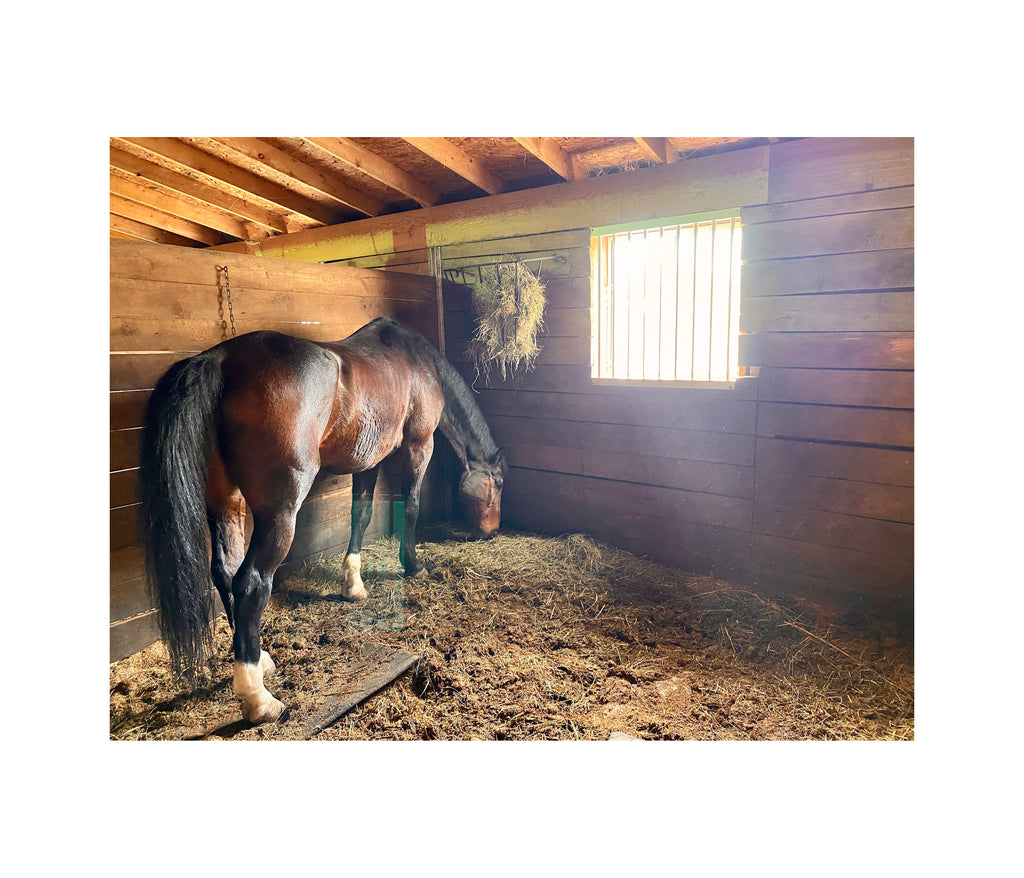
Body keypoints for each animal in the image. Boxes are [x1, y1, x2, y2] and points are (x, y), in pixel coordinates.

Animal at [138, 317, 505, 721]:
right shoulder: (419, 445)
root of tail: (220, 359)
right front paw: (412, 565)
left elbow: (360, 515)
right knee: (250, 582)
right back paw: (259, 699)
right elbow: (410, 507)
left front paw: (353, 584)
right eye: (499, 483)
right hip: (280, 511)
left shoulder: (370, 460)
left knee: (225, 572)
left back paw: (260, 659)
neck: (416, 362)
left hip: (225, 501)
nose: (492, 531)